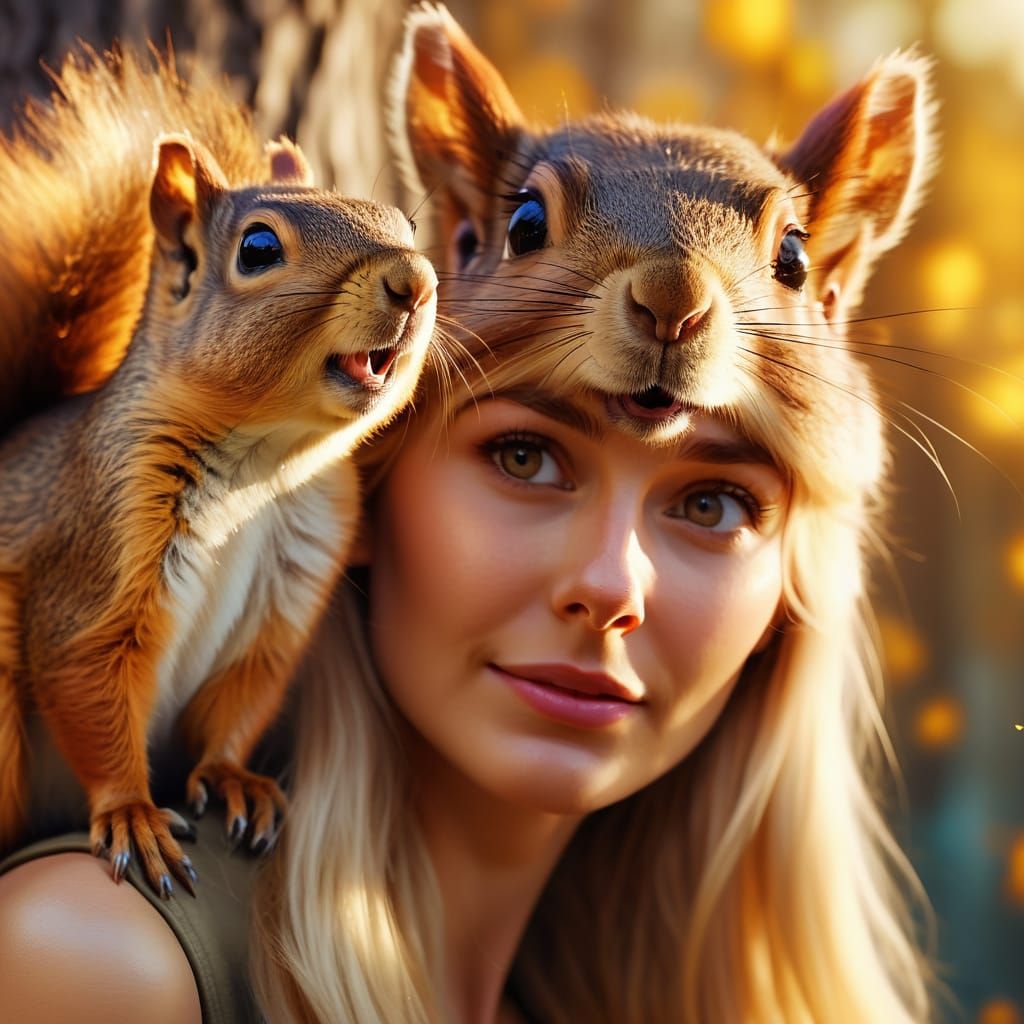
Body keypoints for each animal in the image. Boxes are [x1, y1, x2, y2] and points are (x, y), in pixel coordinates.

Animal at [0, 47, 437, 897]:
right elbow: (88, 689)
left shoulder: (286, 598)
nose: (415, 280)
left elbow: (240, 700)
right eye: (259, 250)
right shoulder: (96, 555)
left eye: (406, 224)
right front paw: (132, 813)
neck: (263, 464)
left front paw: (235, 778)